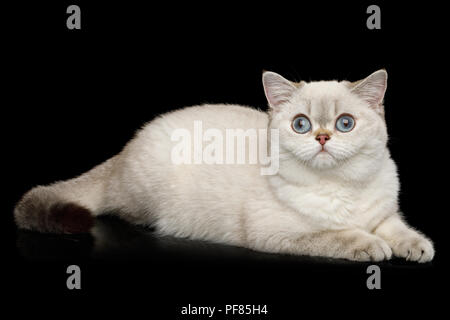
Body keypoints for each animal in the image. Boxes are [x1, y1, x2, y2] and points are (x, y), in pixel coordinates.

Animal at [14, 70, 436, 262]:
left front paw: (417, 248)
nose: (321, 138)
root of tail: (125, 149)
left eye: (345, 123)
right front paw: (374, 247)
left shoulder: (383, 213)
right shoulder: (281, 232)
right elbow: (339, 234)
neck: (343, 187)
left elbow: (398, 229)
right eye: (301, 124)